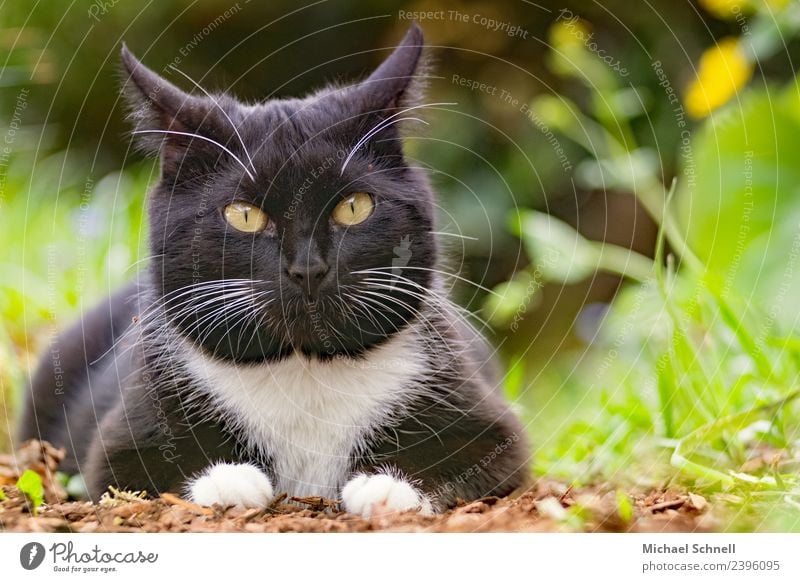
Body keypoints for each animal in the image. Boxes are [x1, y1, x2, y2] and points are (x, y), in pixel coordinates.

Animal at [17, 22, 532, 516]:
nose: (308, 268)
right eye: (243, 215)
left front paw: (388, 486)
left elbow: (485, 448)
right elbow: (129, 466)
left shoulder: (484, 416)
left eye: (353, 206)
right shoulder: (126, 430)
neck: (304, 367)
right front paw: (228, 478)